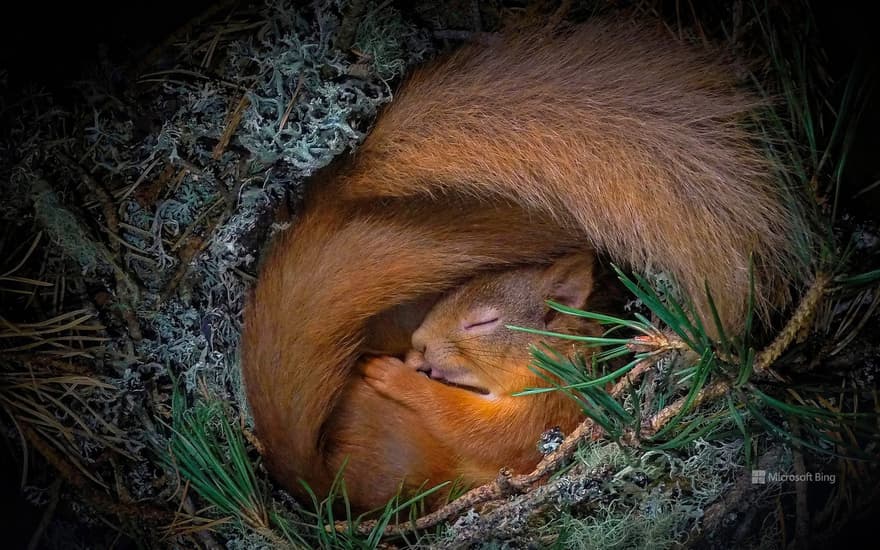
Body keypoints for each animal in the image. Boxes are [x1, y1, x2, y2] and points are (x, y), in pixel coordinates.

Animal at [239, 19, 812, 516]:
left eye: (485, 322)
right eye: (449, 295)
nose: (418, 345)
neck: (555, 358)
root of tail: (315, 482)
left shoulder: (548, 409)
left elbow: (479, 430)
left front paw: (397, 375)